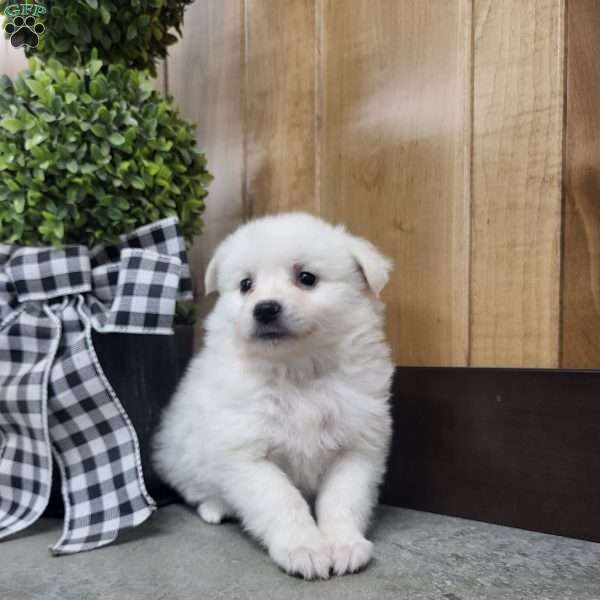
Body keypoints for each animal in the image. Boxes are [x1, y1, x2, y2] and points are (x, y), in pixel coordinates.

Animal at [154, 213, 394, 580]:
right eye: (246, 285)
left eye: (306, 278)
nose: (265, 309)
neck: (297, 371)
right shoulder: (247, 454)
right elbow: (282, 501)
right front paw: (304, 549)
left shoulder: (356, 448)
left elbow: (342, 499)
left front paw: (344, 544)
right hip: (181, 455)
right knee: (196, 490)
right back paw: (215, 508)